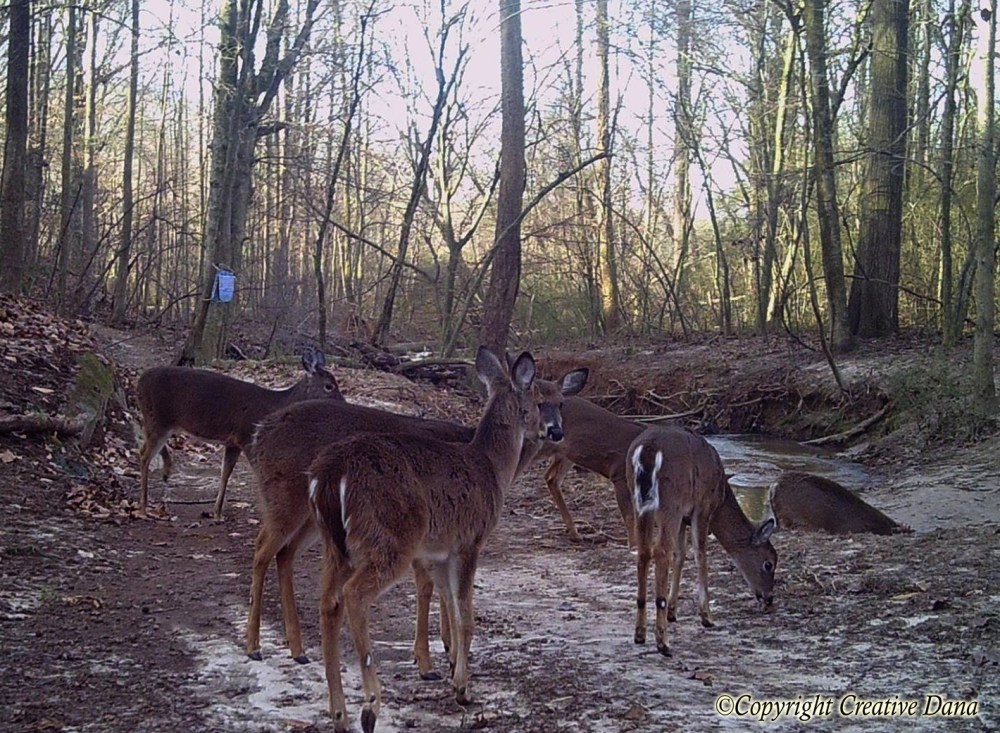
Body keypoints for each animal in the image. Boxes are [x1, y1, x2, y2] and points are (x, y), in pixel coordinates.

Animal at [135, 348, 341, 520]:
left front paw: (216, 513)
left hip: (158, 423)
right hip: (158, 420)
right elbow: (258, 473)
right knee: (144, 455)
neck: (275, 405)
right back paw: (143, 509)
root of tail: (139, 382)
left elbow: (225, 473)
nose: (342, 402)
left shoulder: (233, 442)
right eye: (329, 386)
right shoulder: (247, 435)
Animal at [243, 355, 588, 672]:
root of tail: (259, 433)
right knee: (262, 549)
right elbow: (430, 588)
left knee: (285, 553)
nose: (555, 431)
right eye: (539, 401)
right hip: (286, 496)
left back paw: (296, 648)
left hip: (316, 519)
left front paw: (445, 649)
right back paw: (254, 646)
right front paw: (439, 655)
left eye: (561, 403)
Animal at [306, 348, 587, 733]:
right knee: (353, 595)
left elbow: (451, 610)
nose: (556, 432)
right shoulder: (469, 539)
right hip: (390, 538)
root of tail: (331, 475)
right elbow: (466, 616)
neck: (492, 468)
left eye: (561, 403)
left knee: (327, 602)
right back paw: (370, 707)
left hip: (335, 545)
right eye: (539, 402)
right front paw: (462, 689)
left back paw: (339, 714)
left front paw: (452, 668)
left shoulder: (439, 550)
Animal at [627, 425, 776, 657]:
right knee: (660, 551)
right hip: (670, 500)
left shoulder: (684, 517)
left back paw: (640, 633)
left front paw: (672, 612)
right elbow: (700, 553)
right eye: (769, 564)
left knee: (644, 550)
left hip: (639, 501)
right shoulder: (702, 506)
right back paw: (663, 642)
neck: (721, 496)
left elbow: (680, 555)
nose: (769, 598)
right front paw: (706, 616)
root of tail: (648, 450)